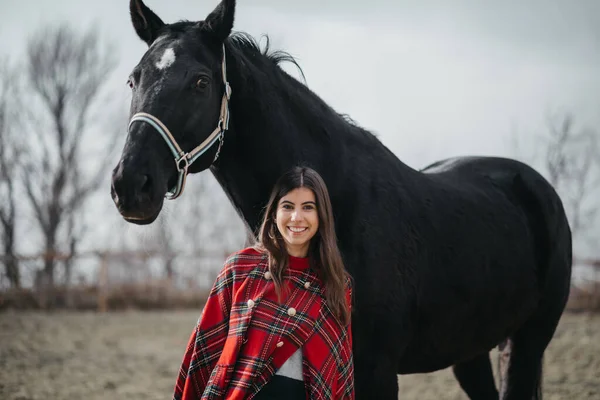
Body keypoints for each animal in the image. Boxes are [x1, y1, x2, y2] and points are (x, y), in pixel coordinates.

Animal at [111, 1, 572, 398]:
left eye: (201, 82)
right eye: (134, 79)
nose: (130, 185)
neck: (341, 208)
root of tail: (537, 187)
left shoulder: (376, 371)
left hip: (525, 344)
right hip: (470, 349)